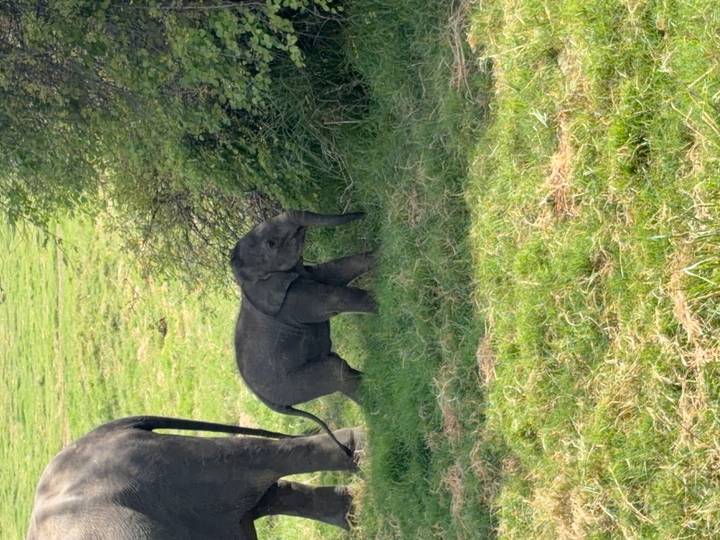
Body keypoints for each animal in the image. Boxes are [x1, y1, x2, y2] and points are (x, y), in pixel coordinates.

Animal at [230, 210, 376, 453]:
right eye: (271, 244)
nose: (364, 213)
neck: (245, 282)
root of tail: (271, 404)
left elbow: (338, 270)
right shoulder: (292, 300)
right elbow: (336, 298)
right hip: (292, 383)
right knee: (336, 372)